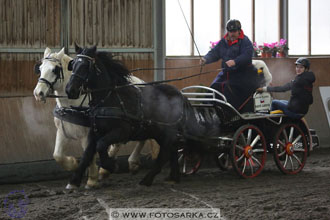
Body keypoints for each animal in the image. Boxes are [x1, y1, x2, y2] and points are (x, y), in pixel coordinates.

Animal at [34, 47, 158, 188]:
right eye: (40, 69)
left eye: (55, 69)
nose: (38, 93)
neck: (72, 105)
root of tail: (142, 82)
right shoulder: (62, 131)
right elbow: (58, 155)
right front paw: (74, 165)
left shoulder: (88, 133)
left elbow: (89, 154)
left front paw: (91, 179)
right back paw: (110, 168)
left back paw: (128, 164)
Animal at [64, 44, 211, 187]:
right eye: (73, 64)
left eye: (85, 66)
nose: (70, 90)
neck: (110, 98)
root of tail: (180, 95)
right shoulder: (95, 131)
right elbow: (87, 154)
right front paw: (74, 181)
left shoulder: (122, 131)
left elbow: (101, 145)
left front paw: (111, 166)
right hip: (161, 132)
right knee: (172, 150)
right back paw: (172, 177)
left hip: (167, 131)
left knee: (165, 153)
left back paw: (147, 179)